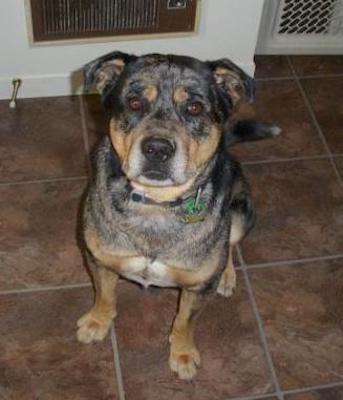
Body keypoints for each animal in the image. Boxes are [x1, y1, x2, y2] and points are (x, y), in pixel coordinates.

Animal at [76, 51, 280, 380]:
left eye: (194, 107)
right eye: (134, 102)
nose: (157, 149)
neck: (156, 204)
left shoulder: (197, 288)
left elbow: (186, 321)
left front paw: (183, 354)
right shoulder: (99, 259)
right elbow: (105, 295)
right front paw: (97, 322)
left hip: (241, 212)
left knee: (230, 244)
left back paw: (226, 275)